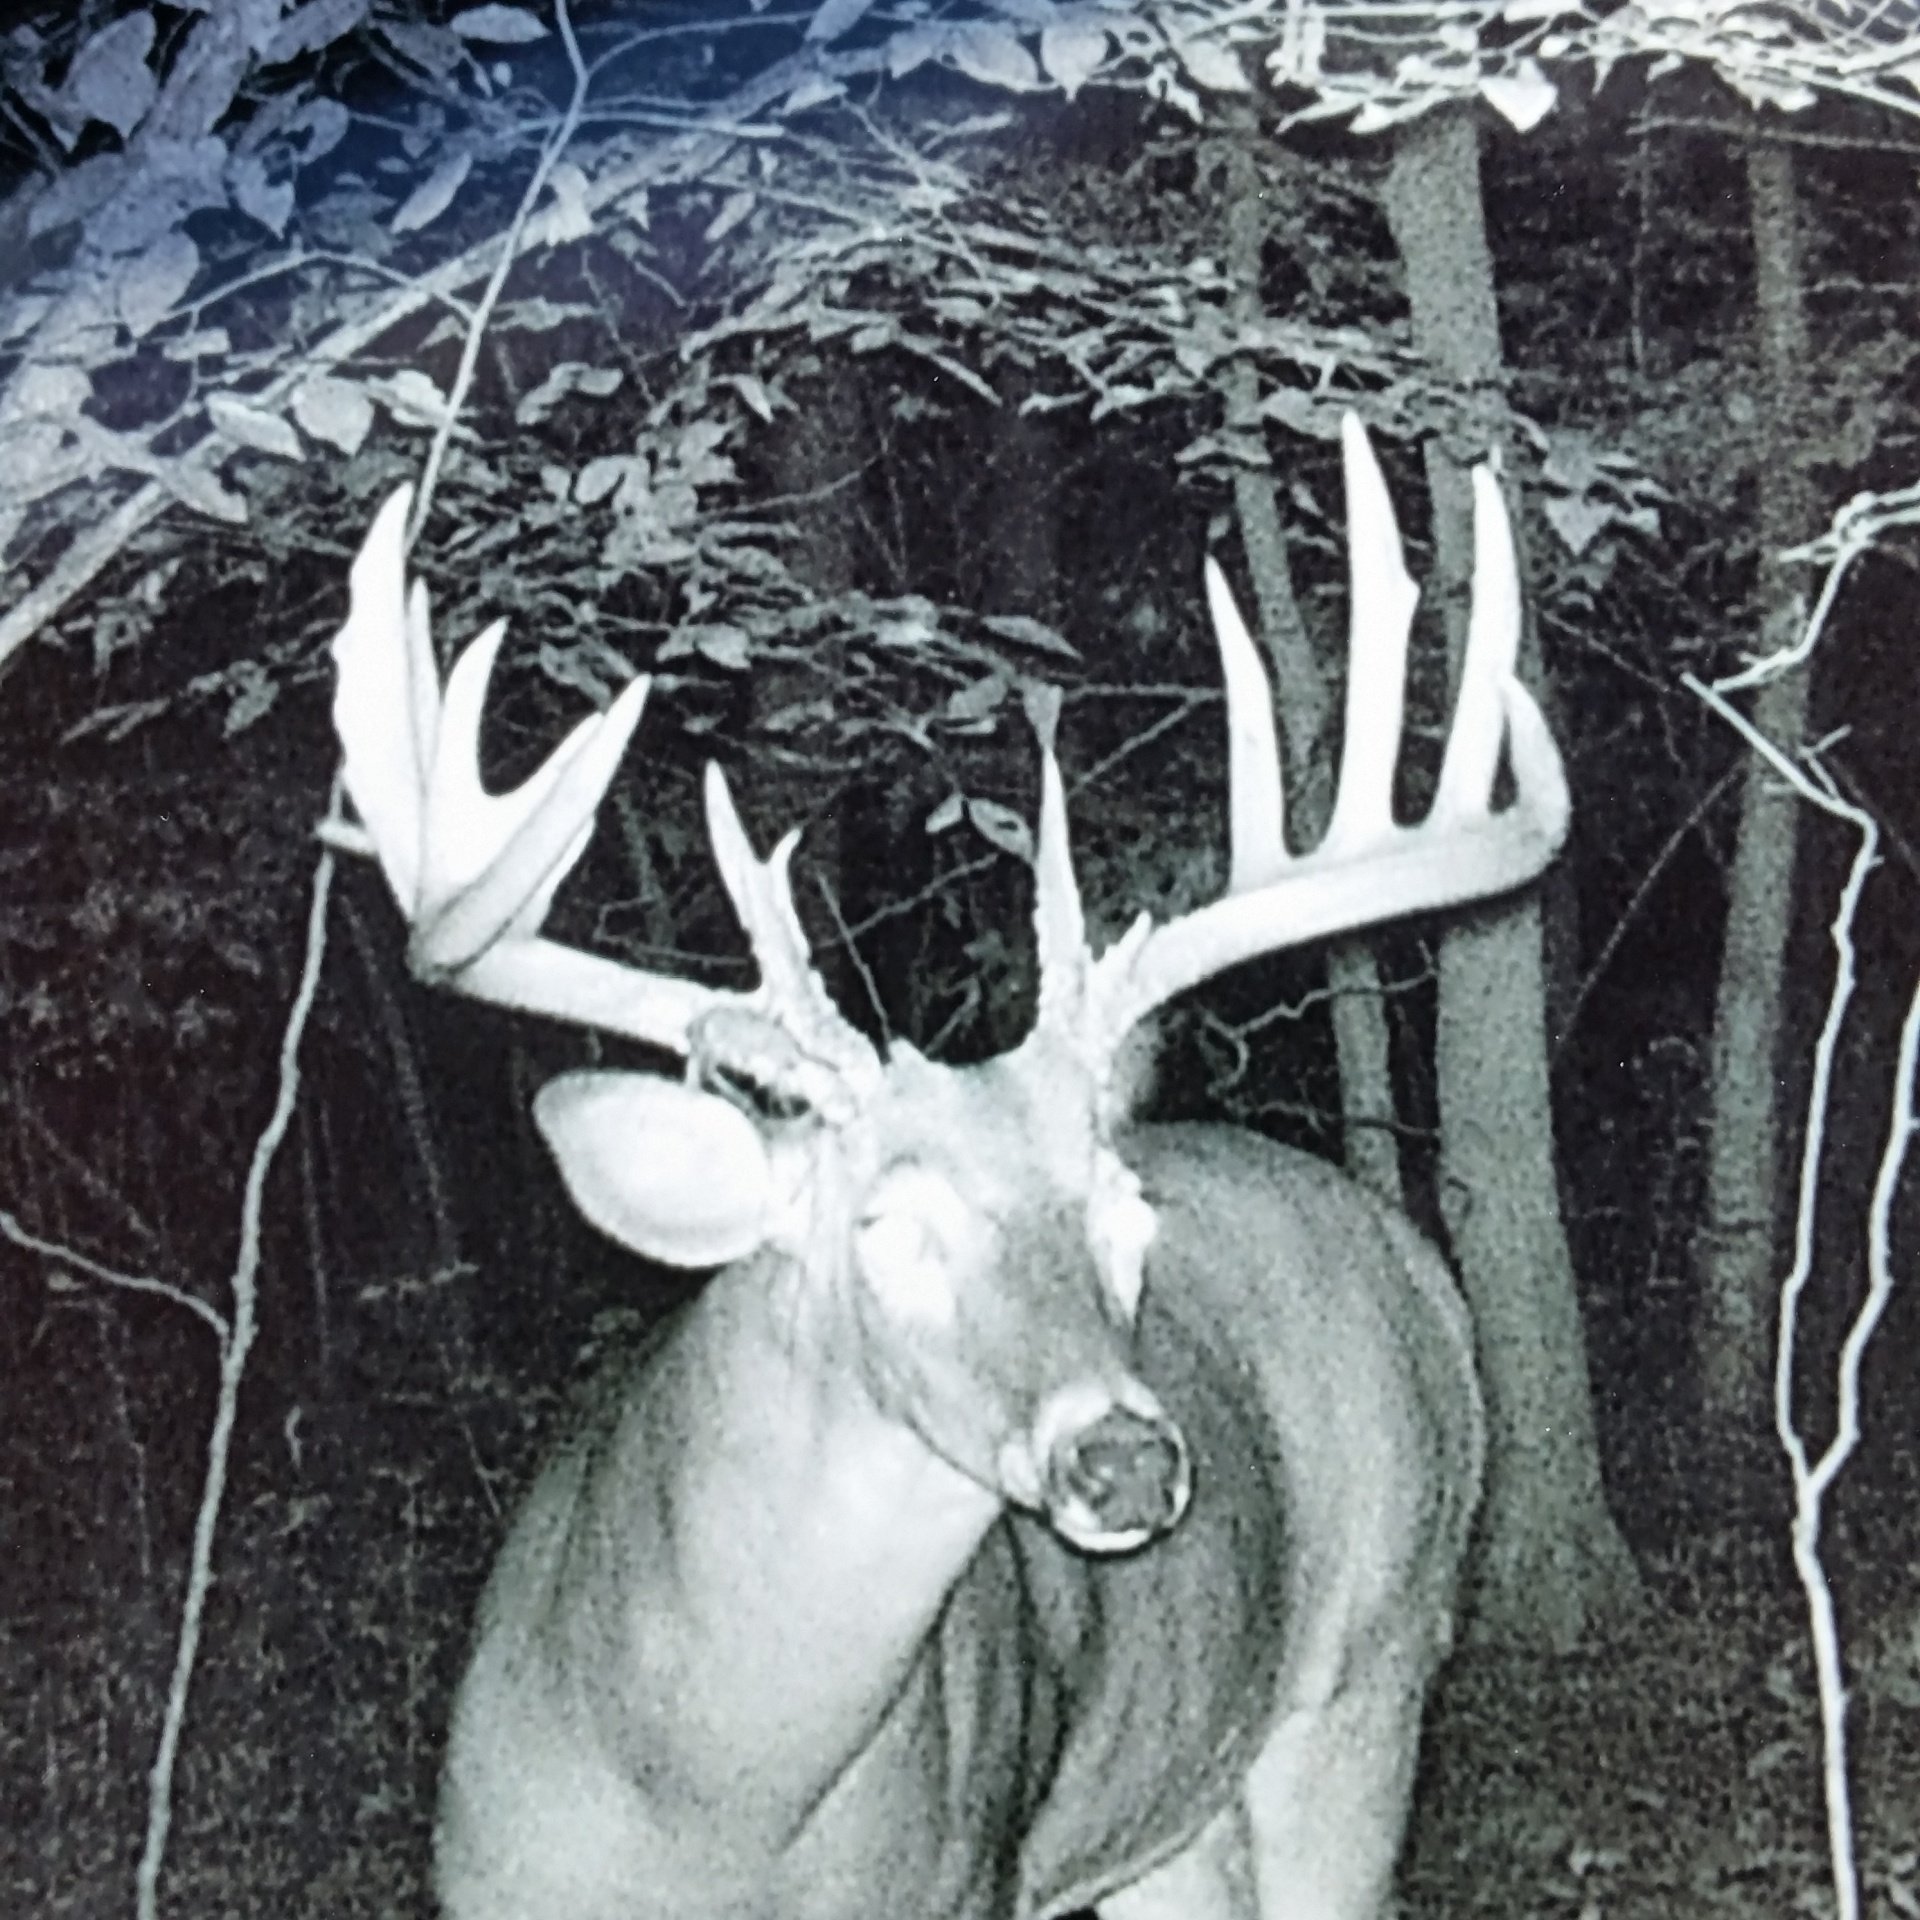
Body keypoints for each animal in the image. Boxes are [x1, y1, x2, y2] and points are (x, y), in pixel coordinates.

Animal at [326, 414, 1566, 1920]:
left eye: (1126, 1219)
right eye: (886, 1225)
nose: (1124, 1461)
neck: (695, 1800)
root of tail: (1420, 1270)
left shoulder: (960, 1875)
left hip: (1366, 1686)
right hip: (1169, 1807)